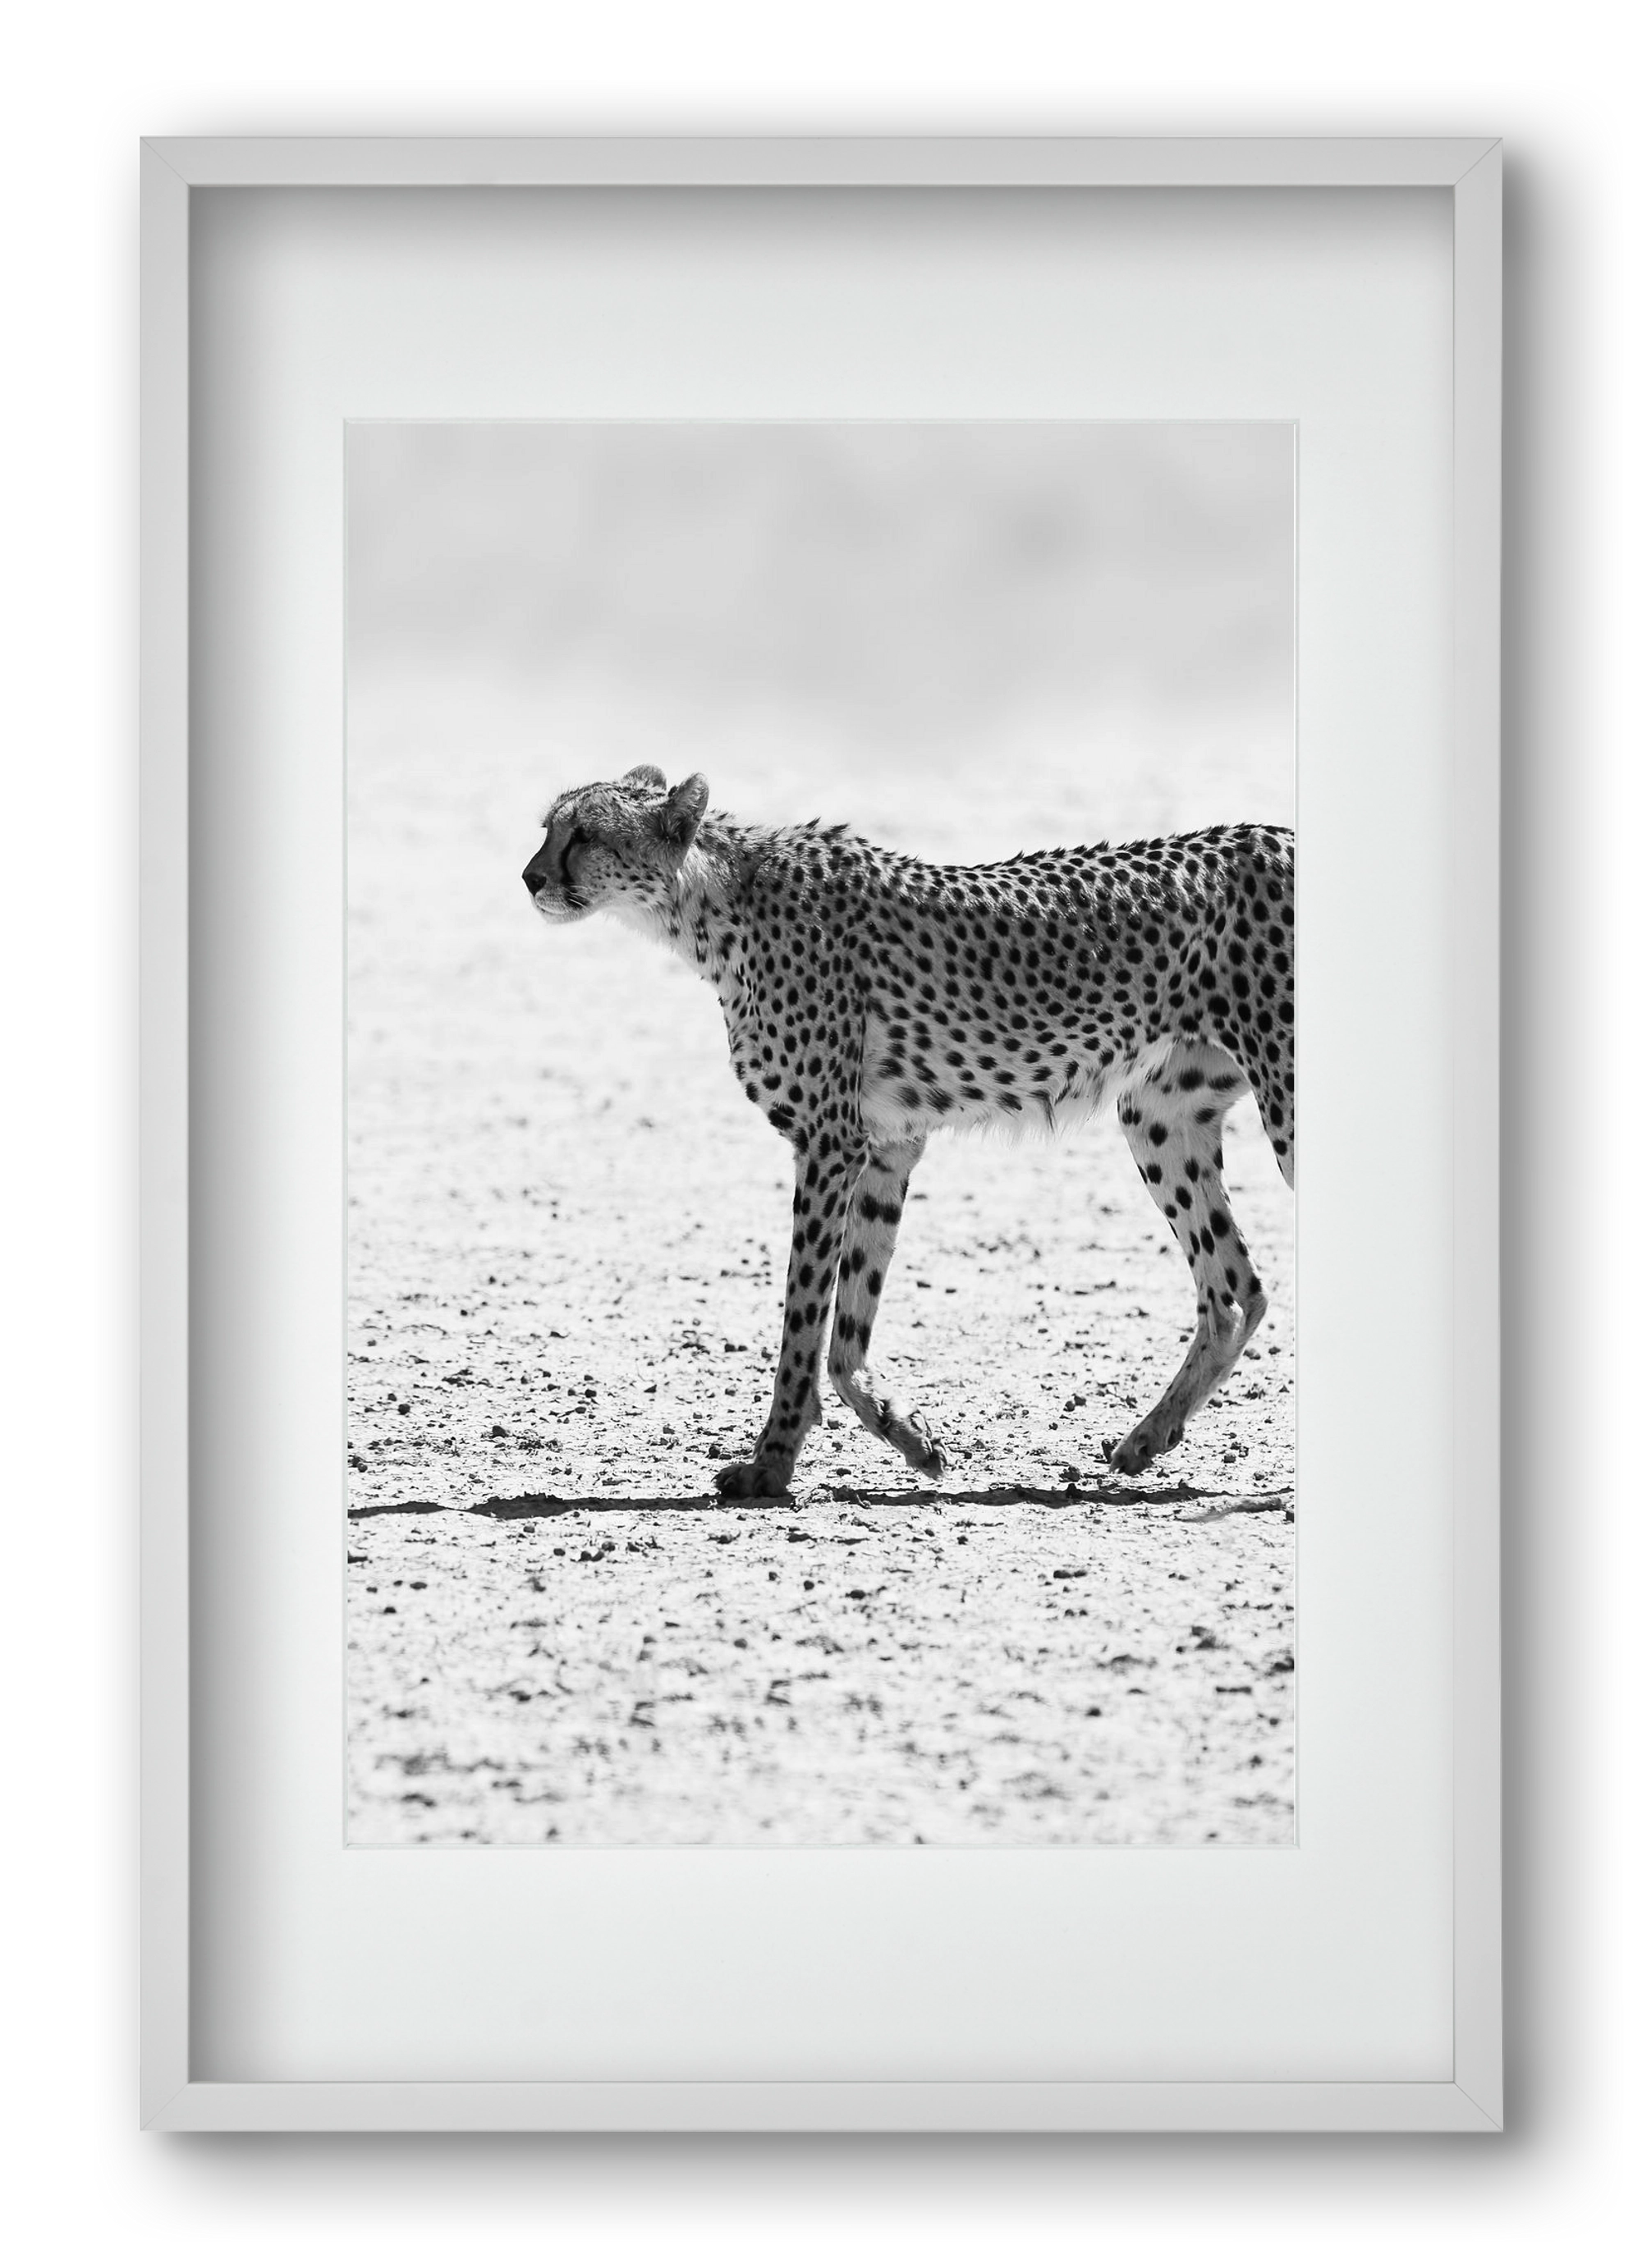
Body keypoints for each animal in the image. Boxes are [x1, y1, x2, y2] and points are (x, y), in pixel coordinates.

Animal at [524, 765, 1294, 1501]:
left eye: (585, 834)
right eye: (548, 828)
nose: (530, 877)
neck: (711, 903)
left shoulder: (829, 1142)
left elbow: (803, 1318)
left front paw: (770, 1464)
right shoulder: (886, 1146)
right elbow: (846, 1330)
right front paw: (910, 1436)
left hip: (1281, 1100)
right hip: (1159, 1115)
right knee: (1234, 1289)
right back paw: (1147, 1438)